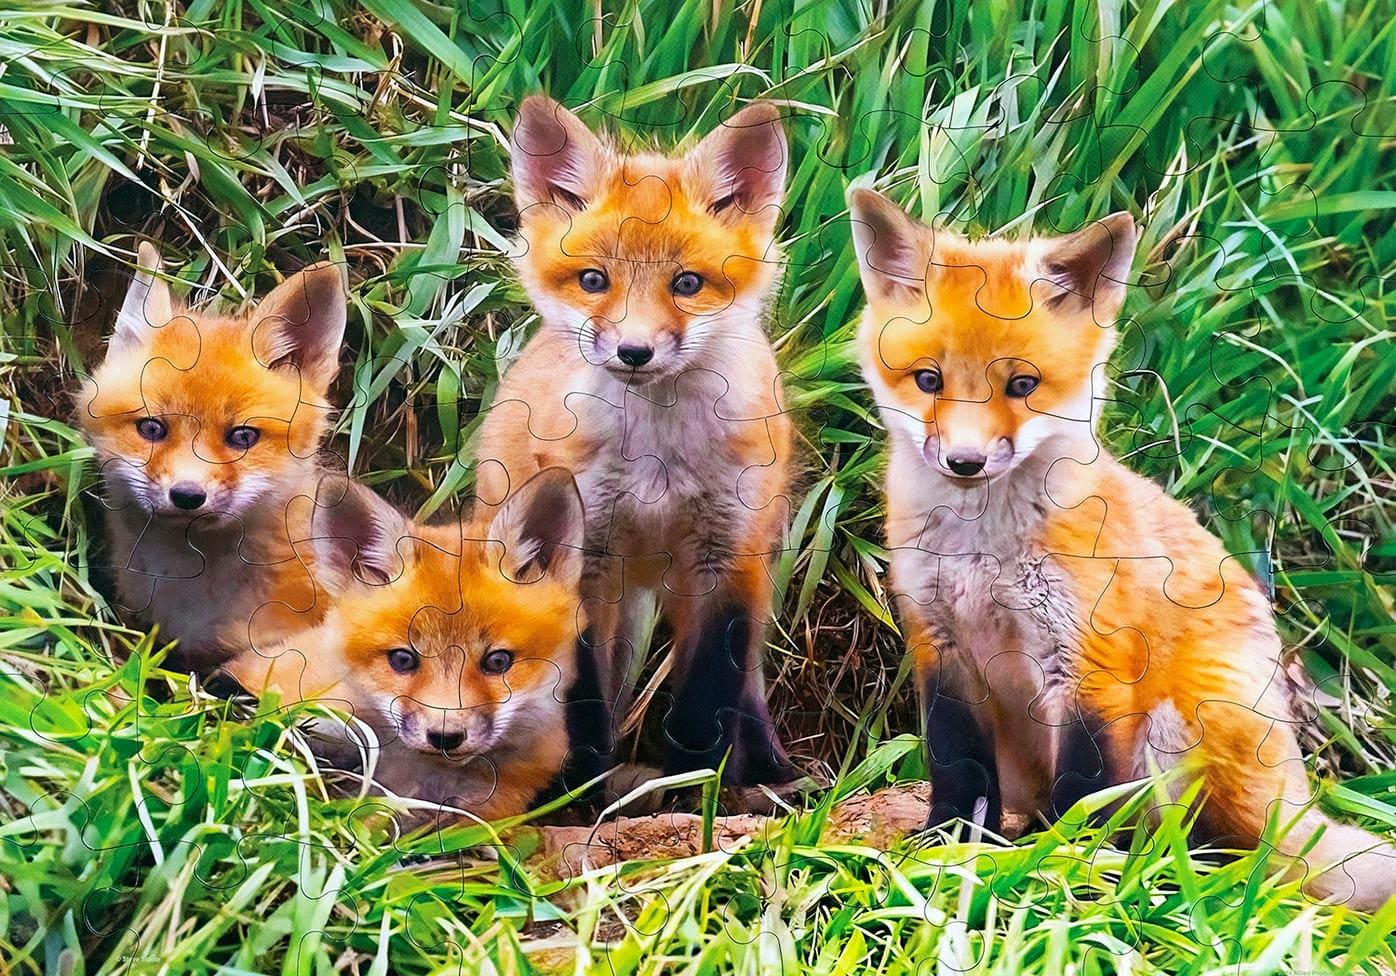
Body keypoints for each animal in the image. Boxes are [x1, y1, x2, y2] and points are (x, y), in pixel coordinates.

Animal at [473, 95, 796, 785]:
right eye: (594, 281)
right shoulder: (586, 554)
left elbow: (706, 696)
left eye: (688, 284)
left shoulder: (728, 556)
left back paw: (768, 767)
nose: (634, 351)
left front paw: (695, 784)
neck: (659, 456)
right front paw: (578, 784)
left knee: (750, 681)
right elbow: (582, 694)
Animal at [847, 187, 1396, 911]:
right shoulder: (939, 646)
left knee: (1228, 855)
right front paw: (945, 847)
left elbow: (1084, 789)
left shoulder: (1091, 660)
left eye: (1022, 386)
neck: (982, 552)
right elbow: (957, 768)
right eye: (928, 380)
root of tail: (1293, 801)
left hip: (1181, 728)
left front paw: (1062, 865)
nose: (965, 463)